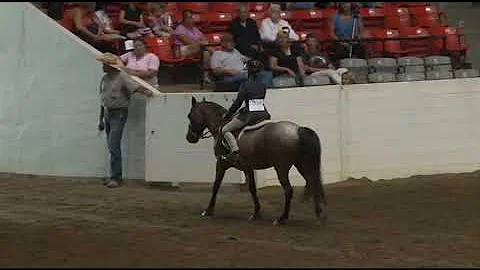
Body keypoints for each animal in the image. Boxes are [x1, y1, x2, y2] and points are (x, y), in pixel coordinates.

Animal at [186, 96, 328, 225]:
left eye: (189, 116)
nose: (189, 138)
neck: (220, 124)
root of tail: (298, 129)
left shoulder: (221, 164)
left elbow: (216, 185)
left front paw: (208, 211)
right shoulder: (248, 167)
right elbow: (252, 188)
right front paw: (256, 213)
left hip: (281, 168)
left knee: (289, 190)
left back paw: (282, 218)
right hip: (302, 165)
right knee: (312, 182)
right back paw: (319, 215)